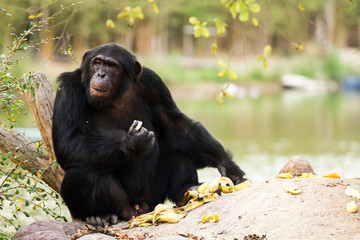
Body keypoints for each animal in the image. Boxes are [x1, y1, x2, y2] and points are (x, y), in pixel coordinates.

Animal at [52, 42, 246, 227]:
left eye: (112, 66)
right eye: (97, 62)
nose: (101, 74)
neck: (117, 94)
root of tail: (138, 209)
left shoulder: (153, 83)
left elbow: (174, 124)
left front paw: (228, 166)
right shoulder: (69, 89)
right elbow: (68, 142)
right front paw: (131, 142)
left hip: (154, 197)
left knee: (173, 151)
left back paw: (188, 189)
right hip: (122, 205)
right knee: (82, 172)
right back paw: (98, 216)